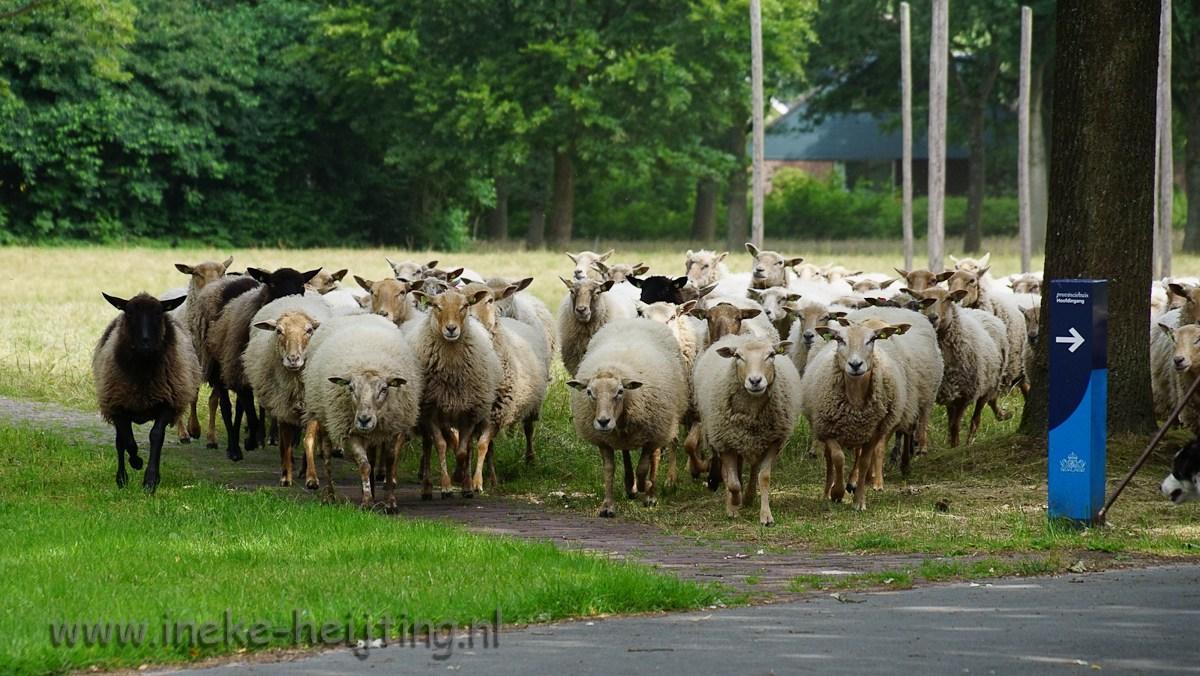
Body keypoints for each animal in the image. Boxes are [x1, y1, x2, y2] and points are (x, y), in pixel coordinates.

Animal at [568, 319, 691, 516]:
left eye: (620, 391)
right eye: (589, 392)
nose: (603, 421)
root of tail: (638, 319)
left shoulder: (651, 435)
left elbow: (643, 468)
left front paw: (645, 486)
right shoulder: (604, 440)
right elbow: (609, 470)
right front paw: (608, 505)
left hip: (663, 424)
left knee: (654, 457)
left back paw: (650, 494)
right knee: (626, 454)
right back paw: (629, 486)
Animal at [696, 336, 796, 525]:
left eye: (771, 355)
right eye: (737, 356)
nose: (755, 381)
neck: (751, 412)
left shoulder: (773, 442)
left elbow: (764, 477)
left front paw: (766, 516)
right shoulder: (725, 443)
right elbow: (733, 483)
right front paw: (734, 504)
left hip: (756, 442)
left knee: (754, 469)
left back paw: (749, 496)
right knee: (729, 474)